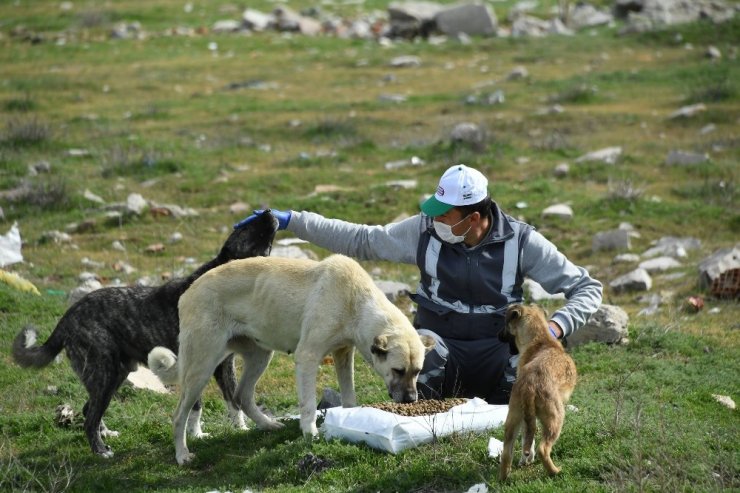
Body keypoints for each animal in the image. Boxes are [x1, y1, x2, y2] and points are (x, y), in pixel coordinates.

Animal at [13, 209, 278, 456]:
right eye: (244, 228)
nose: (268, 211)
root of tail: (67, 317)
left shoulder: (224, 366)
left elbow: (232, 400)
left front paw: (237, 429)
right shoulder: (195, 366)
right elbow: (196, 405)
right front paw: (195, 435)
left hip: (115, 375)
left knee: (90, 410)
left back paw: (106, 434)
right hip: (104, 375)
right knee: (90, 418)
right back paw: (101, 451)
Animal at [149, 254, 434, 466]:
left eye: (417, 371)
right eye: (398, 370)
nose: (411, 400)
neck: (355, 303)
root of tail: (187, 293)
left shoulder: (343, 354)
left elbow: (349, 397)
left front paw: (351, 420)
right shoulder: (307, 357)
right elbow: (307, 405)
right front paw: (310, 434)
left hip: (259, 356)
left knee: (242, 396)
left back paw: (267, 425)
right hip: (201, 368)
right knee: (179, 415)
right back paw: (182, 455)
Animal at [498, 302, 580, 478]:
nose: (497, 335)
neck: (541, 339)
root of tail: (530, 384)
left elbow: (526, 440)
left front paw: (525, 460)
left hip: (514, 417)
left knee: (507, 452)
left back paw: (504, 477)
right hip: (555, 418)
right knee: (543, 448)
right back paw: (555, 471)